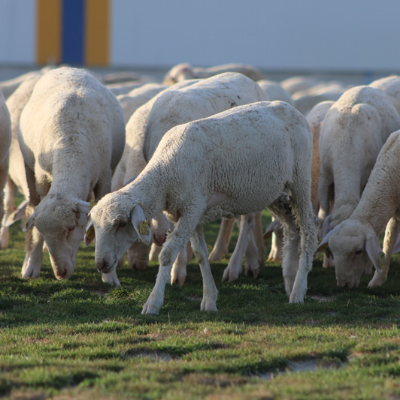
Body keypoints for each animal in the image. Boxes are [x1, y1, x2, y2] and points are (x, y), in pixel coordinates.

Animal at [17, 66, 125, 284]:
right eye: (45, 232)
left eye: (71, 228)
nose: (61, 273)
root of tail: (67, 68)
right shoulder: (42, 179)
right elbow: (35, 228)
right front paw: (33, 265)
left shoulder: (104, 177)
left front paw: (109, 277)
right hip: (29, 169)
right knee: (31, 207)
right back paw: (29, 263)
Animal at [86, 101, 318, 316]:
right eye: (95, 227)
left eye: (121, 223)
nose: (101, 264)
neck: (165, 176)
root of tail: (290, 107)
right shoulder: (190, 212)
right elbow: (200, 254)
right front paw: (209, 301)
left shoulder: (192, 208)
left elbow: (167, 254)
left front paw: (153, 303)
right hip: (271, 190)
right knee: (290, 225)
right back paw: (289, 280)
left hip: (300, 178)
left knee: (308, 230)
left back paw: (298, 291)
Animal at [318, 130, 400, 290]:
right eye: (333, 252)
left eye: (358, 251)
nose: (342, 284)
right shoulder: (395, 213)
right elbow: (388, 243)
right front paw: (377, 281)